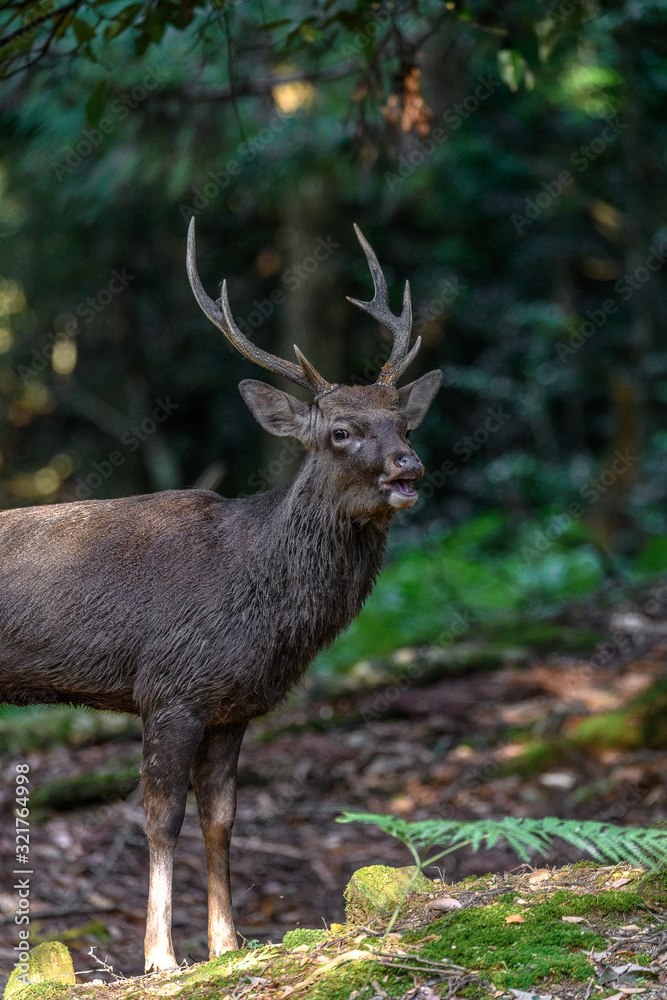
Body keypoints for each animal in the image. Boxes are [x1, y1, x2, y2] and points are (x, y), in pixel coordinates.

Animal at [0, 220, 442, 972]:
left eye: (404, 424)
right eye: (340, 430)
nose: (407, 466)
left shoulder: (232, 707)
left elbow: (222, 820)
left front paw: (227, 942)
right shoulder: (169, 686)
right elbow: (161, 818)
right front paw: (160, 957)